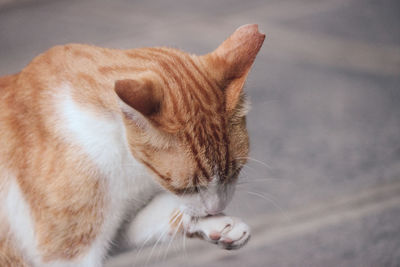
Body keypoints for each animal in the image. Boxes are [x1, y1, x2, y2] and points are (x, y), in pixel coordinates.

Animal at [0, 24, 266, 266]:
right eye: (187, 187)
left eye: (235, 172)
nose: (215, 209)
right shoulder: (70, 255)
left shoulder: (123, 227)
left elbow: (161, 214)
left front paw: (221, 225)